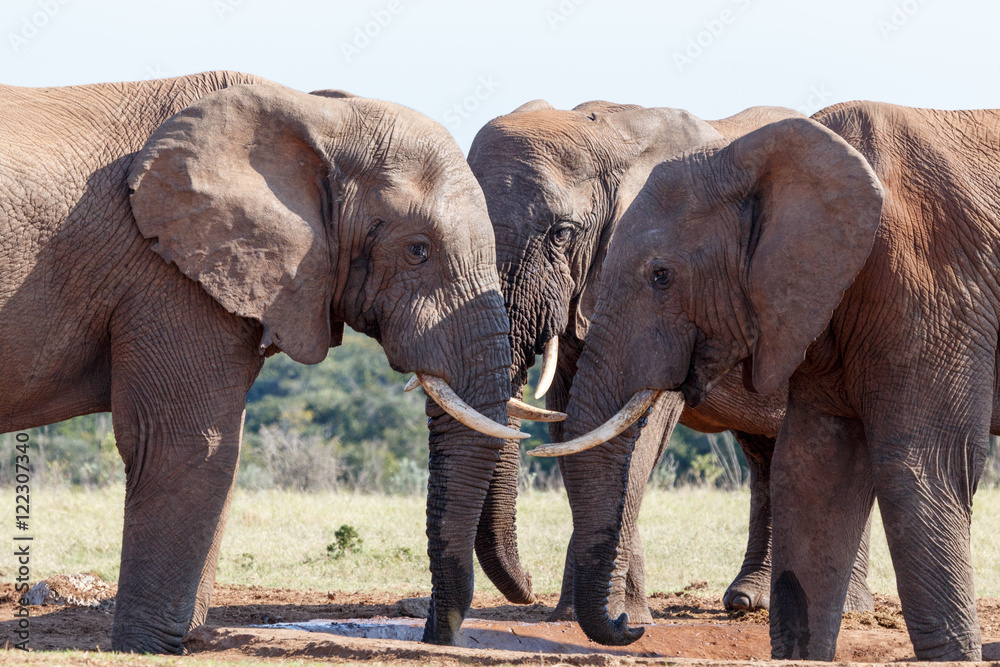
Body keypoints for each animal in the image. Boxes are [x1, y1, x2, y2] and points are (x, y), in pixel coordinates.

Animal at [0, 71, 537, 652]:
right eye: (418, 249)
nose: (433, 635)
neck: (320, 117)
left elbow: (219, 454)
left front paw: (186, 640)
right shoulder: (168, 273)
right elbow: (187, 445)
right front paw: (146, 648)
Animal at [466, 100, 872, 622]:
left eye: (561, 233)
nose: (529, 587)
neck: (605, 130)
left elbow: (633, 430)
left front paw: (625, 615)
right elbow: (573, 426)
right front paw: (575, 613)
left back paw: (847, 610)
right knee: (766, 453)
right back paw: (747, 601)